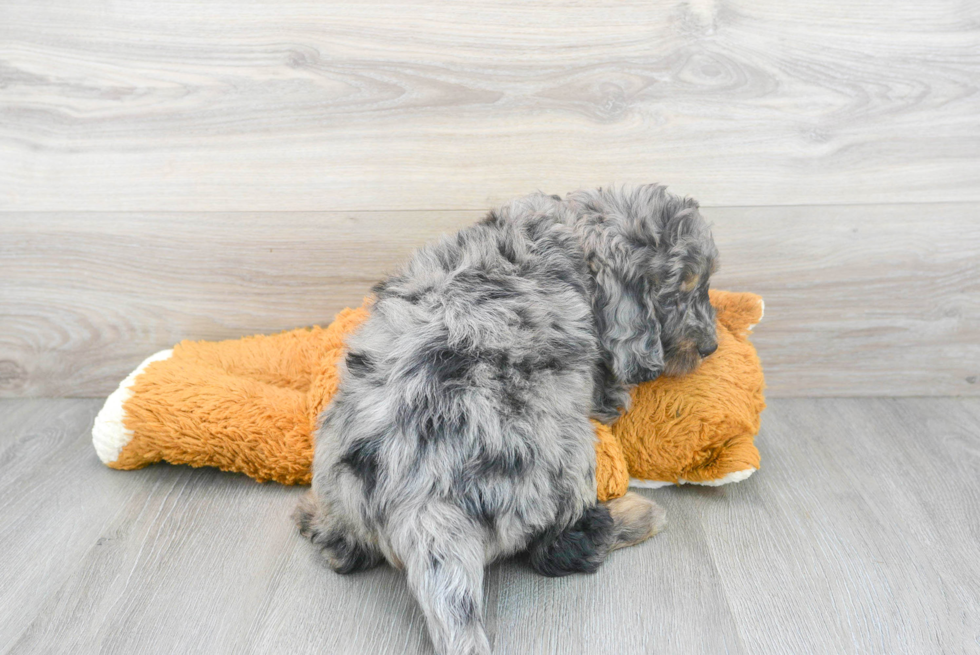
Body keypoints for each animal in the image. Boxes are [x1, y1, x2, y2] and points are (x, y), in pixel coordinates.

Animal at [296, 184, 720, 655]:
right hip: (567, 456)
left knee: (341, 548)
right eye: (679, 292)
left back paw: (313, 516)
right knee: (559, 548)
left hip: (337, 467)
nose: (711, 347)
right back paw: (637, 515)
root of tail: (423, 508)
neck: (569, 230)